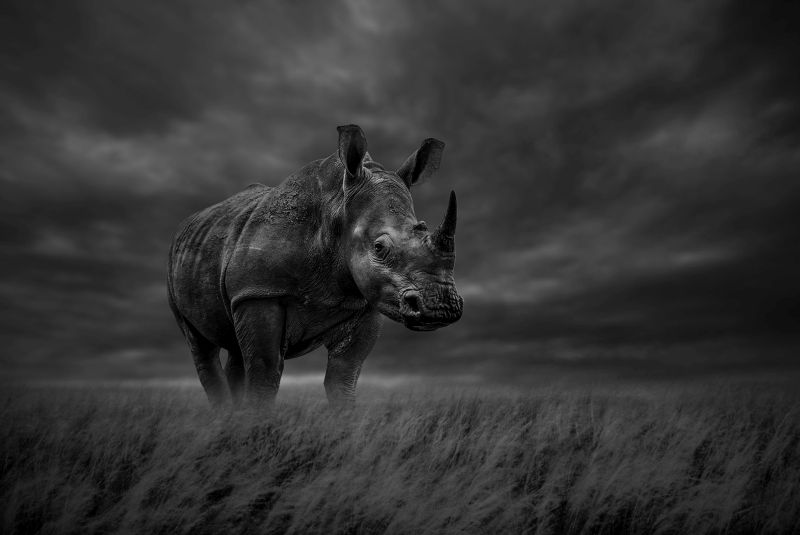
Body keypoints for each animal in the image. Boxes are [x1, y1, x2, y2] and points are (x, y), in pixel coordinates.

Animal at [167, 125, 463, 406]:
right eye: (379, 248)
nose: (442, 307)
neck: (337, 209)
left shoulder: (366, 303)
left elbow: (343, 379)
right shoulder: (258, 292)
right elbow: (265, 376)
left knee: (235, 348)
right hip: (177, 267)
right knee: (201, 346)